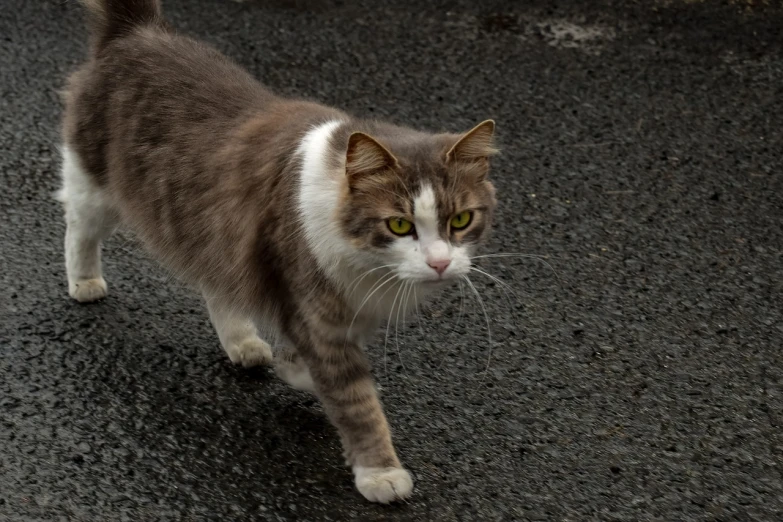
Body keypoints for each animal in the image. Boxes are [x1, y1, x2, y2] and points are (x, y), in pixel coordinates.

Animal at [58, 1, 500, 504]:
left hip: (210, 229)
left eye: (460, 220)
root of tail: (137, 30)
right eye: (400, 225)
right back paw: (84, 281)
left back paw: (244, 343)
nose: (440, 263)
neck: (365, 263)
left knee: (218, 288)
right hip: (95, 184)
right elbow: (357, 402)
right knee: (78, 227)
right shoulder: (314, 313)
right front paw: (379, 471)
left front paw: (293, 368)